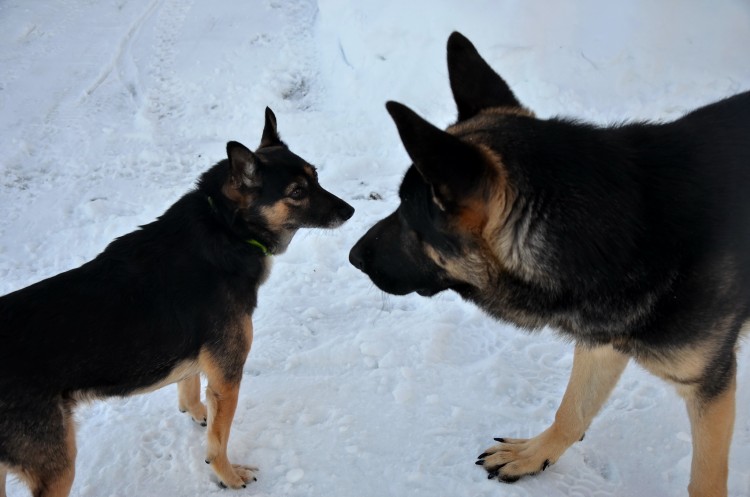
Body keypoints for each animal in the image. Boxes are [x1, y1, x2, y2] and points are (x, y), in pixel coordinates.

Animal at [0, 108, 356, 496]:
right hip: (58, 467)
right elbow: (218, 440)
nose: (351, 210)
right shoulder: (228, 377)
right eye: (297, 192)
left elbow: (190, 388)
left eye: (315, 177)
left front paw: (197, 411)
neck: (226, 228)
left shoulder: (197, 360)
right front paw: (228, 476)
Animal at [352, 33, 750, 494]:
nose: (353, 256)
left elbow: (705, 479)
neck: (625, 230)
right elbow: (572, 409)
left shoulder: (709, 387)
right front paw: (536, 454)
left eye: (406, 213)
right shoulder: (602, 341)